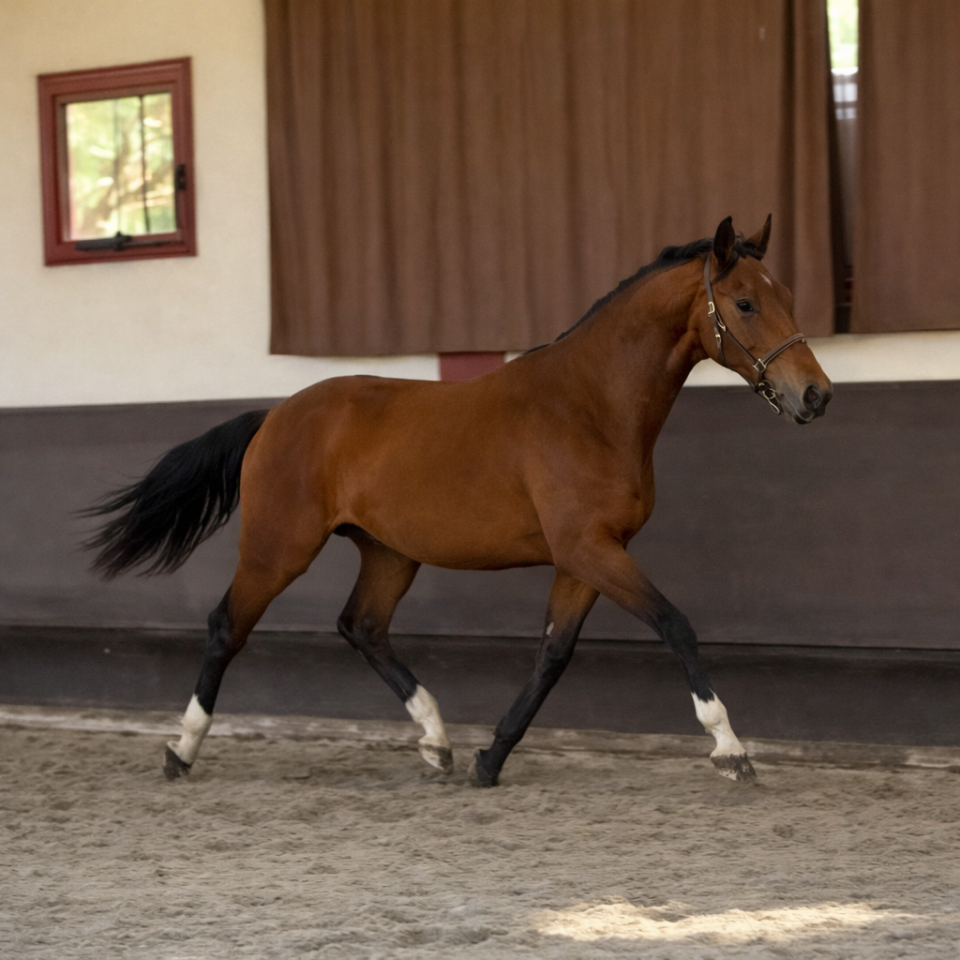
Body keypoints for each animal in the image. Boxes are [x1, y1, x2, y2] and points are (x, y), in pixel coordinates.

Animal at [84, 215, 832, 787]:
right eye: (744, 304)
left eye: (788, 295)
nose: (816, 395)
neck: (590, 405)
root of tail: (274, 415)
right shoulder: (590, 550)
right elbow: (676, 625)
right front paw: (730, 749)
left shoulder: (584, 559)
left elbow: (553, 656)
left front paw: (489, 758)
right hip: (278, 549)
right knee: (225, 627)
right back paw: (181, 750)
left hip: (389, 554)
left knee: (362, 626)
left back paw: (436, 740)